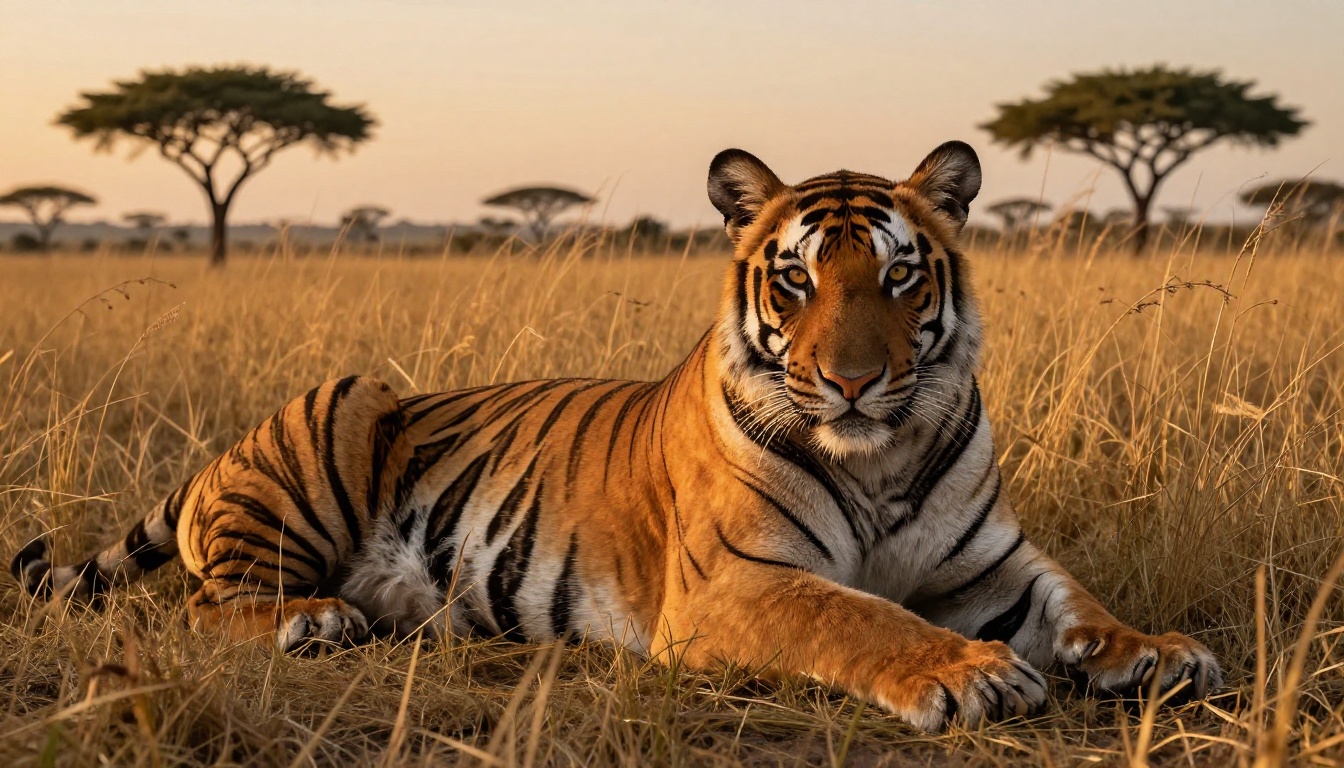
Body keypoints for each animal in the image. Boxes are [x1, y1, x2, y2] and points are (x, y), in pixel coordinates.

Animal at [11, 141, 1221, 731]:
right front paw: (967, 673)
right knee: (208, 605)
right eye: (797, 279)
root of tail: (216, 461)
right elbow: (860, 618)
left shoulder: (995, 565)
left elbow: (1076, 603)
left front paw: (1154, 652)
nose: (853, 382)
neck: (876, 458)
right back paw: (314, 620)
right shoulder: (738, 583)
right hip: (345, 400)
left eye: (897, 275)